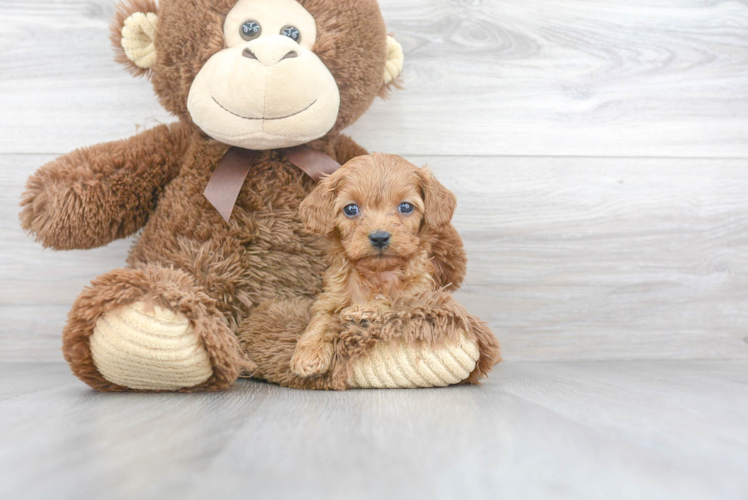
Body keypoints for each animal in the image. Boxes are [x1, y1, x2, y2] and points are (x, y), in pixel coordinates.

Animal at [292, 152, 502, 382]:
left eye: (405, 207)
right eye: (350, 209)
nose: (379, 237)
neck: (379, 273)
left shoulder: (420, 297)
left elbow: (392, 302)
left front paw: (363, 310)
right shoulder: (330, 299)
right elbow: (320, 321)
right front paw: (308, 354)